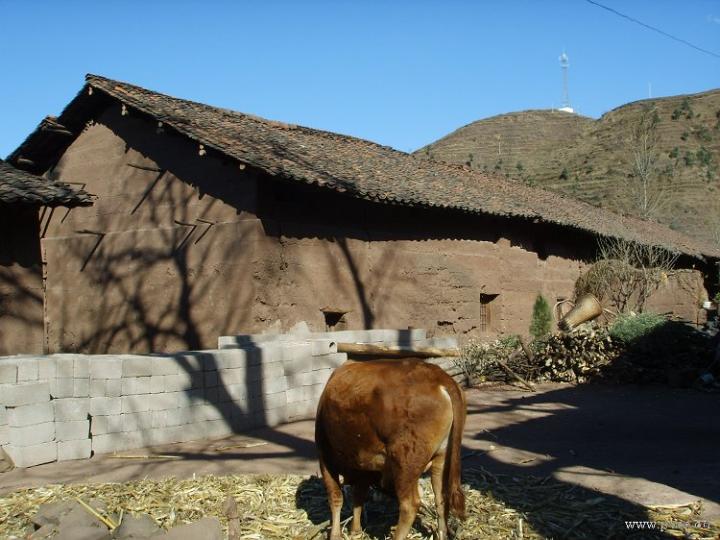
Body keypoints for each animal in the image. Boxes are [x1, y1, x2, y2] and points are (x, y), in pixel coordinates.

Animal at [316, 358, 466, 540]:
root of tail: (439, 376)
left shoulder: (325, 456)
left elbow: (336, 497)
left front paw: (336, 534)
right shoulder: (364, 465)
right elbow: (359, 496)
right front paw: (355, 529)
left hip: (405, 461)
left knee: (409, 505)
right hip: (442, 457)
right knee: (441, 498)